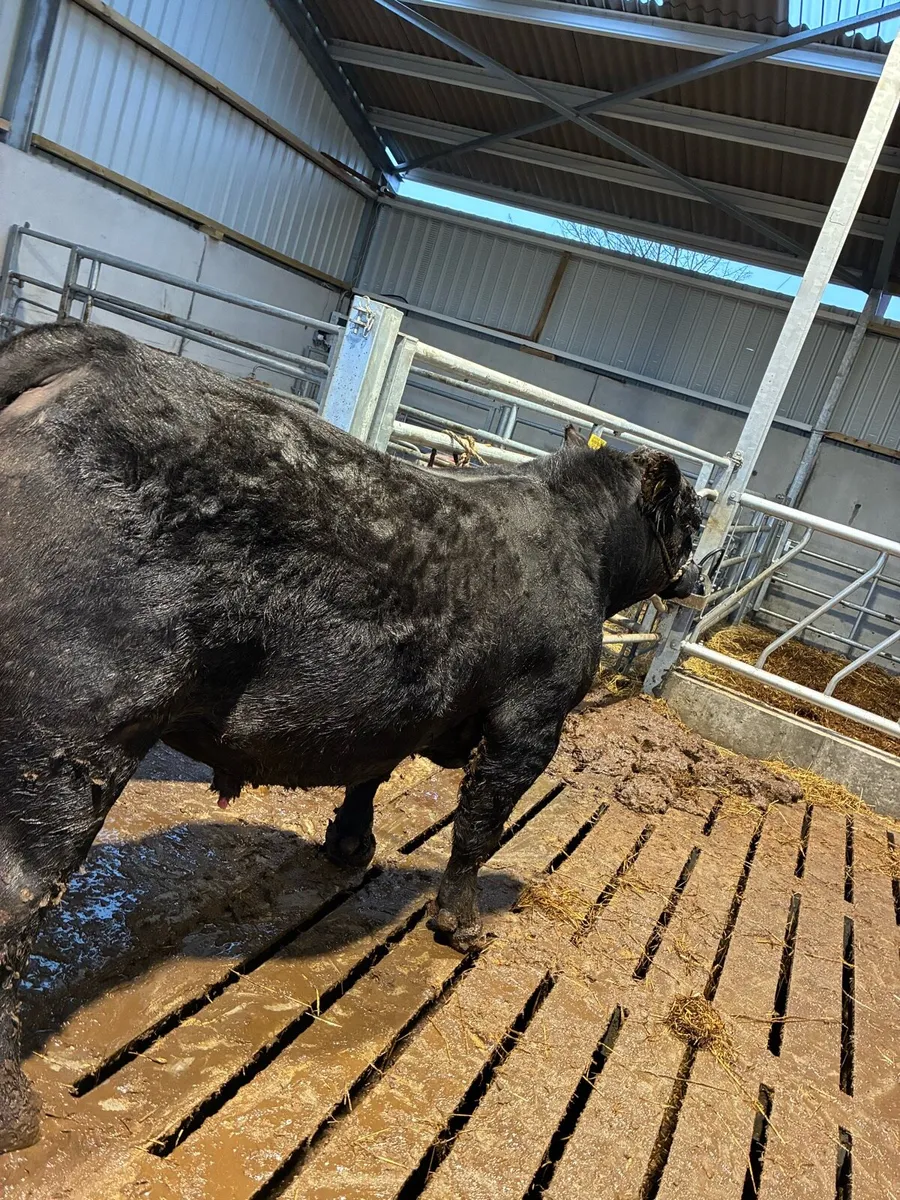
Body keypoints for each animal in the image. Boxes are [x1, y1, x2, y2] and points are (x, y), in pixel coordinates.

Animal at [0, 322, 701, 1152]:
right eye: (693, 515)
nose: (702, 575)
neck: (578, 546)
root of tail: (91, 349)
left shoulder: (404, 702)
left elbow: (372, 768)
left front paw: (350, 844)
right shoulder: (532, 718)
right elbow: (478, 827)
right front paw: (461, 926)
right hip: (72, 734)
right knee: (18, 897)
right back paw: (16, 1115)